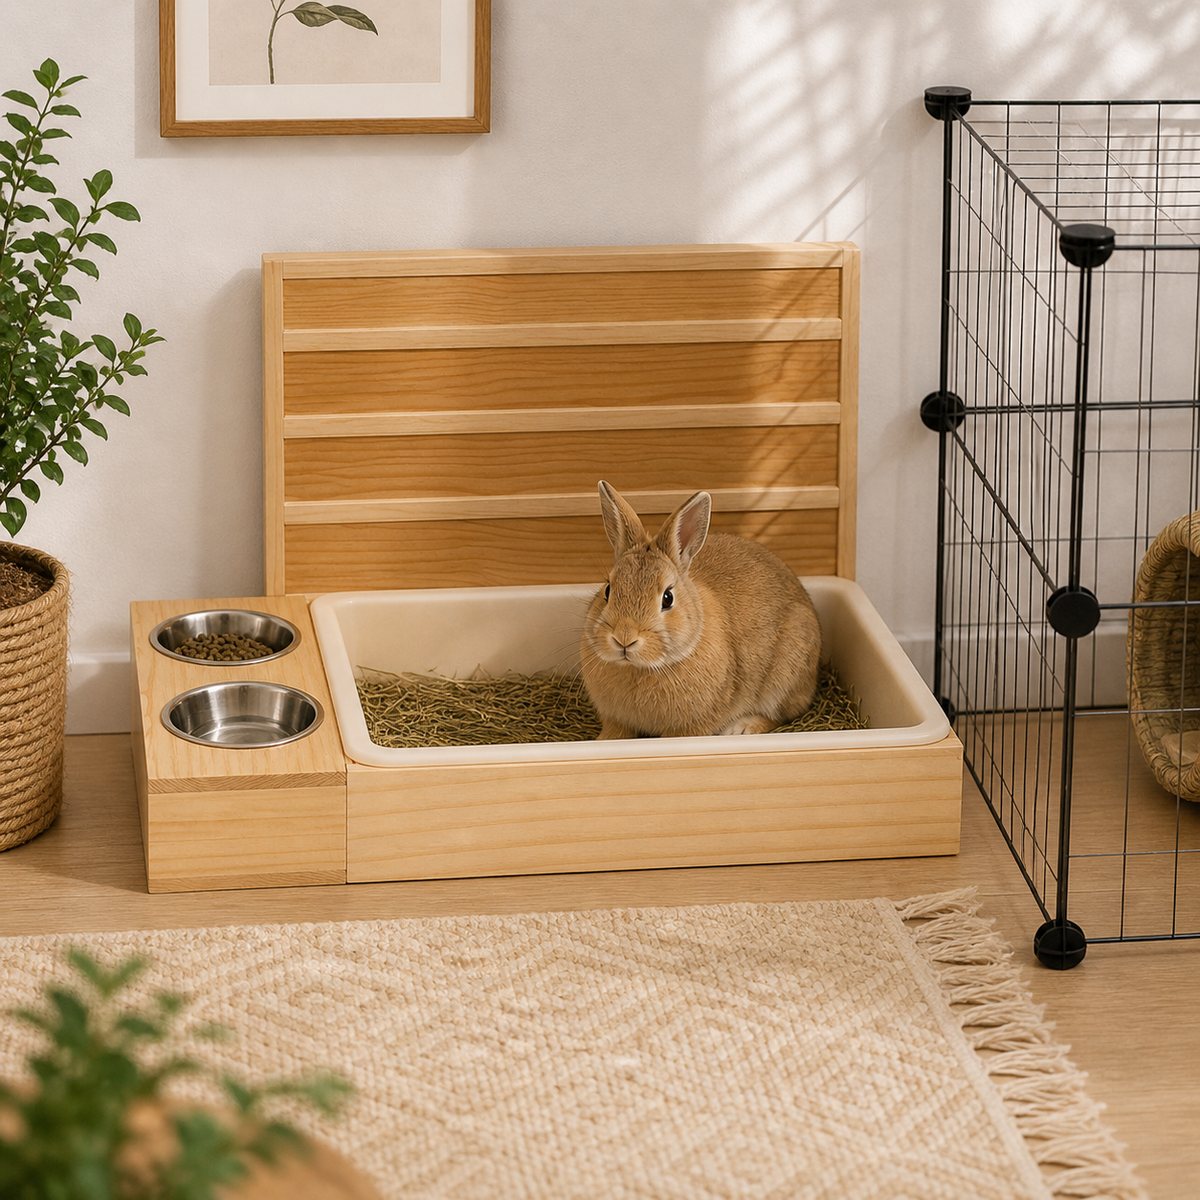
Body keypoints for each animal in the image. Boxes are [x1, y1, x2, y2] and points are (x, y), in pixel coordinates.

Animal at [579, 481, 821, 739]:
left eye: (668, 598)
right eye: (608, 590)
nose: (624, 638)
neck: (640, 668)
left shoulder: (689, 728)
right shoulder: (617, 720)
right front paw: (602, 740)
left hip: (785, 677)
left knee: (782, 714)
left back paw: (742, 728)